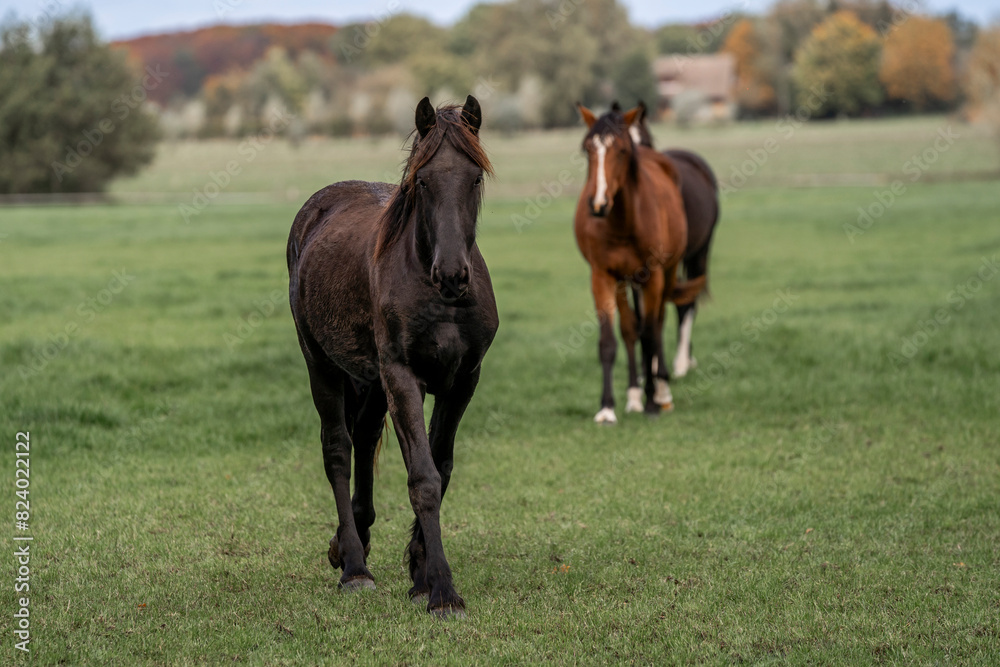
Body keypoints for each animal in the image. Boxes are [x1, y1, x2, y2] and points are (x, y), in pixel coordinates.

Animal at [286, 96, 496, 620]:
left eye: (474, 178)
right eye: (422, 181)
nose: (451, 274)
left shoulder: (463, 379)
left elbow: (441, 469)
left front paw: (420, 577)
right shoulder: (403, 377)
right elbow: (422, 478)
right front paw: (442, 591)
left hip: (370, 378)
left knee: (362, 439)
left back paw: (351, 542)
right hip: (322, 364)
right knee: (338, 450)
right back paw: (355, 568)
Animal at [576, 104, 708, 426]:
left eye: (622, 150)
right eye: (588, 149)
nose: (598, 204)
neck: (622, 221)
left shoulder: (653, 276)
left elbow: (649, 335)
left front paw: (652, 401)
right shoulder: (602, 276)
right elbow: (610, 340)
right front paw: (607, 408)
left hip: (668, 271)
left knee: (658, 322)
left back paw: (660, 392)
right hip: (625, 280)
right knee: (630, 328)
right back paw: (634, 396)